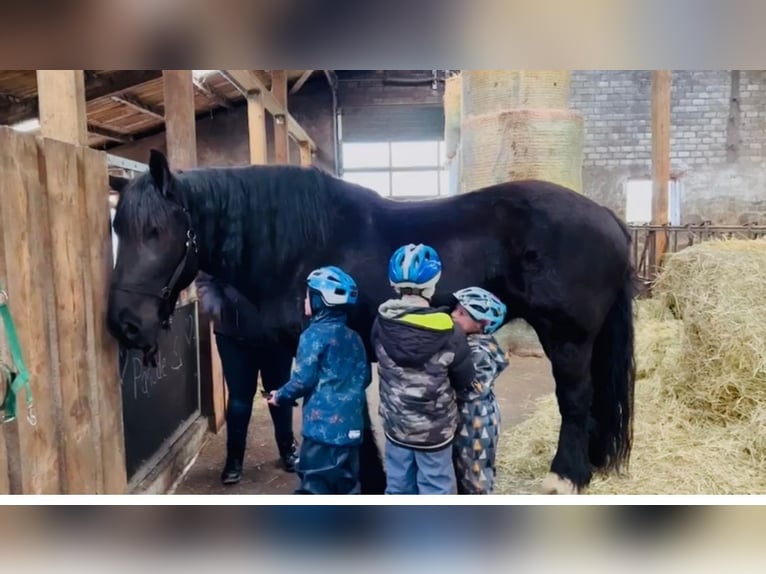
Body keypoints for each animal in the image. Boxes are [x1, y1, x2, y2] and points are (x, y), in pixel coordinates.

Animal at [107, 149, 636, 495]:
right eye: (117, 229)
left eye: (156, 232)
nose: (124, 325)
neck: (297, 247)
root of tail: (605, 215)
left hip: (568, 337)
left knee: (575, 399)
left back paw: (566, 476)